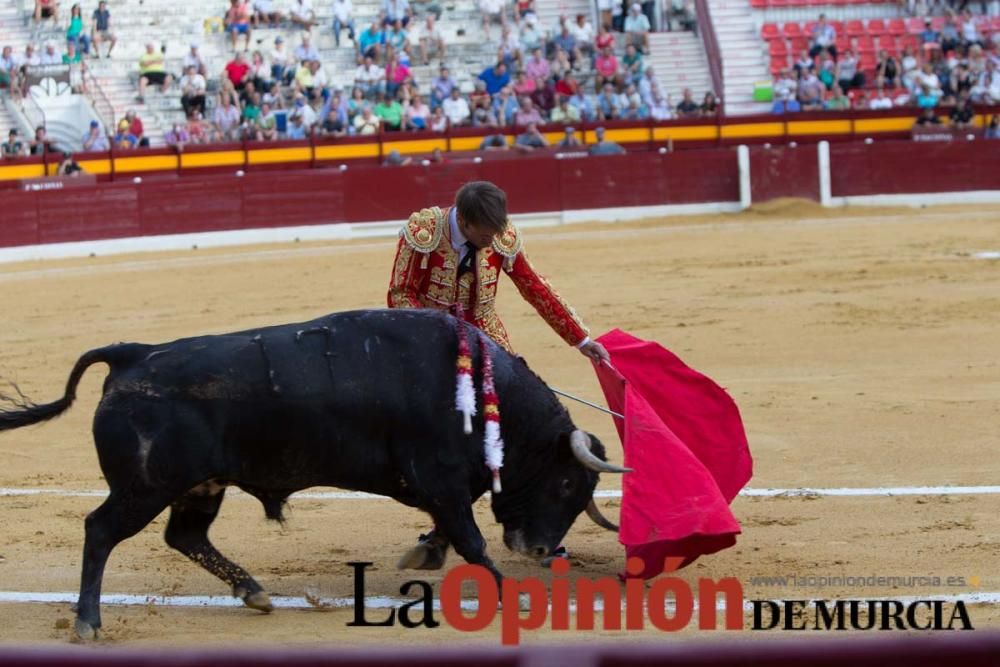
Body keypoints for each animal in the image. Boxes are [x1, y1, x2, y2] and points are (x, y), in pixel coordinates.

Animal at [0, 310, 624, 640]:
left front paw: (429, 556)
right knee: (101, 531)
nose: (540, 548)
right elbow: (470, 538)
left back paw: (254, 592)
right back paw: (88, 621)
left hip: (199, 485)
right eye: (566, 483)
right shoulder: (441, 479)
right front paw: (504, 590)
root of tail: (131, 354)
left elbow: (451, 532)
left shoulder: (439, 489)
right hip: (145, 487)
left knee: (186, 535)